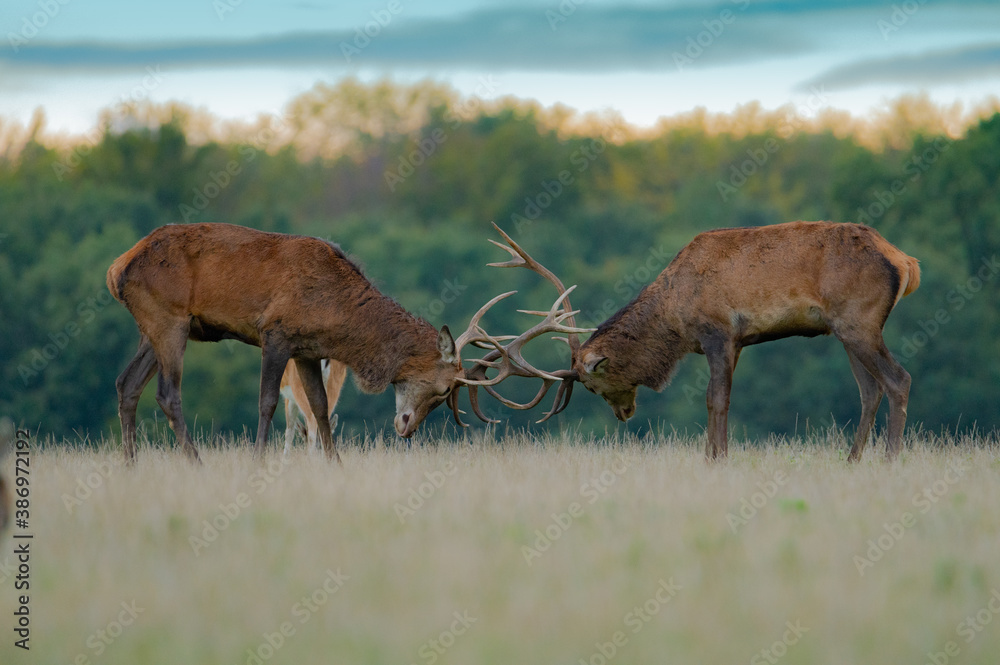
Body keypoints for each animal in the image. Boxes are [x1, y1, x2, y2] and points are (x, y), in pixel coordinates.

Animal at [107, 222, 587, 464]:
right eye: (443, 389)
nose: (406, 428)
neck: (337, 320)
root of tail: (117, 267)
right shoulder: (275, 332)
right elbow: (268, 402)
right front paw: (258, 463)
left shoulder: (307, 349)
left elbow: (321, 409)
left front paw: (333, 465)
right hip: (168, 317)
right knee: (168, 393)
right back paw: (195, 463)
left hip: (156, 325)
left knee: (126, 384)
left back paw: (130, 466)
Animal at [497, 221, 919, 462]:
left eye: (591, 385)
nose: (623, 414)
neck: (675, 316)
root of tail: (906, 262)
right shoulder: (737, 342)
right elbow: (716, 400)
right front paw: (714, 454)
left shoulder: (718, 331)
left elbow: (716, 399)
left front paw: (716, 458)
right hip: (844, 330)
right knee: (870, 390)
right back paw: (852, 461)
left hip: (859, 321)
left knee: (899, 379)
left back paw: (890, 460)